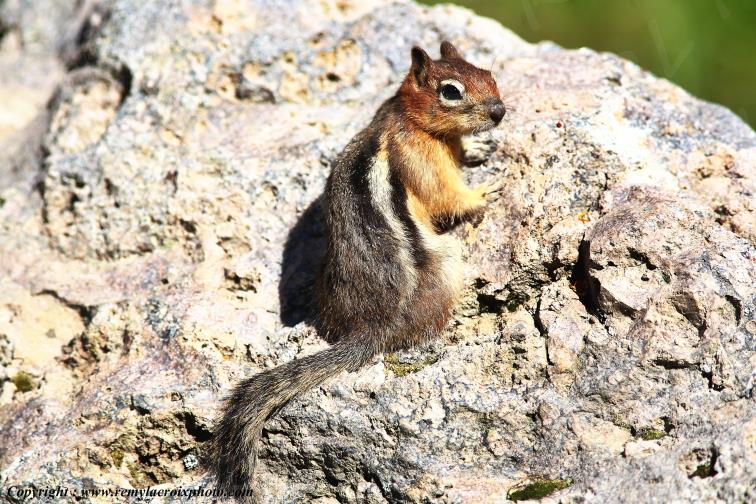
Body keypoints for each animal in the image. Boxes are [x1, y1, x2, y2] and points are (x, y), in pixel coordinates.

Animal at [207, 41, 505, 496]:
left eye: (488, 73)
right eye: (451, 91)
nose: (499, 112)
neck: (407, 117)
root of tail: (370, 327)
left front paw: (477, 151)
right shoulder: (423, 160)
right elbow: (446, 197)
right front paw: (485, 190)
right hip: (446, 263)